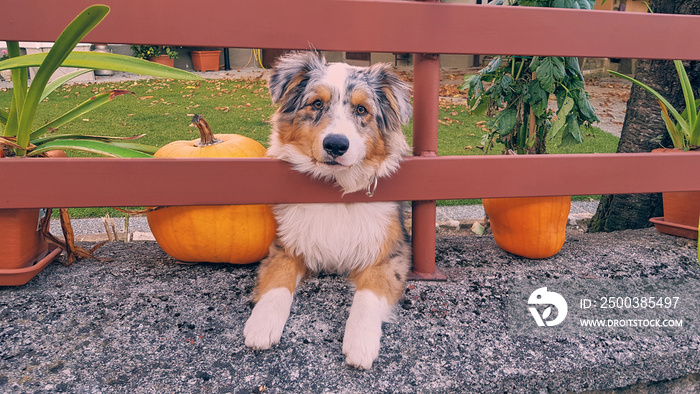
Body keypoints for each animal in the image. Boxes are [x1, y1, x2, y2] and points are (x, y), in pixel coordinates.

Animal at [243, 50, 412, 370]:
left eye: (361, 109)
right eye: (317, 104)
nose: (336, 144)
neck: (335, 188)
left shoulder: (390, 254)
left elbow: (367, 296)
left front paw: (360, 344)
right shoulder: (286, 246)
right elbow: (277, 281)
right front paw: (262, 324)